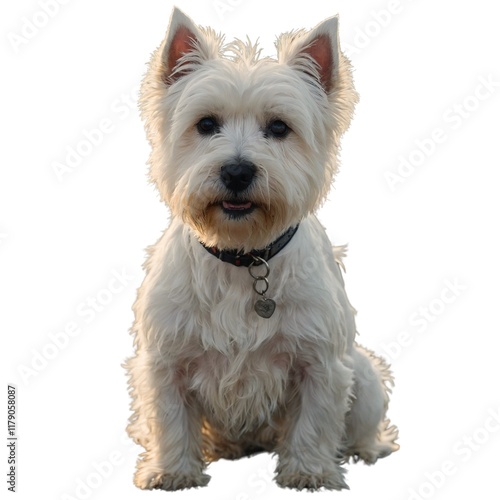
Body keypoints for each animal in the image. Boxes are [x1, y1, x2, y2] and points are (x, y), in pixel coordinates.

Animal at [125, 7, 398, 492]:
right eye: (206, 124)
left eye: (279, 128)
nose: (237, 171)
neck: (244, 256)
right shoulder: (166, 359)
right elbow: (171, 419)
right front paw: (173, 471)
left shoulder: (319, 360)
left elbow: (314, 421)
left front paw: (308, 471)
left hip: (363, 375)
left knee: (364, 420)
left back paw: (367, 448)